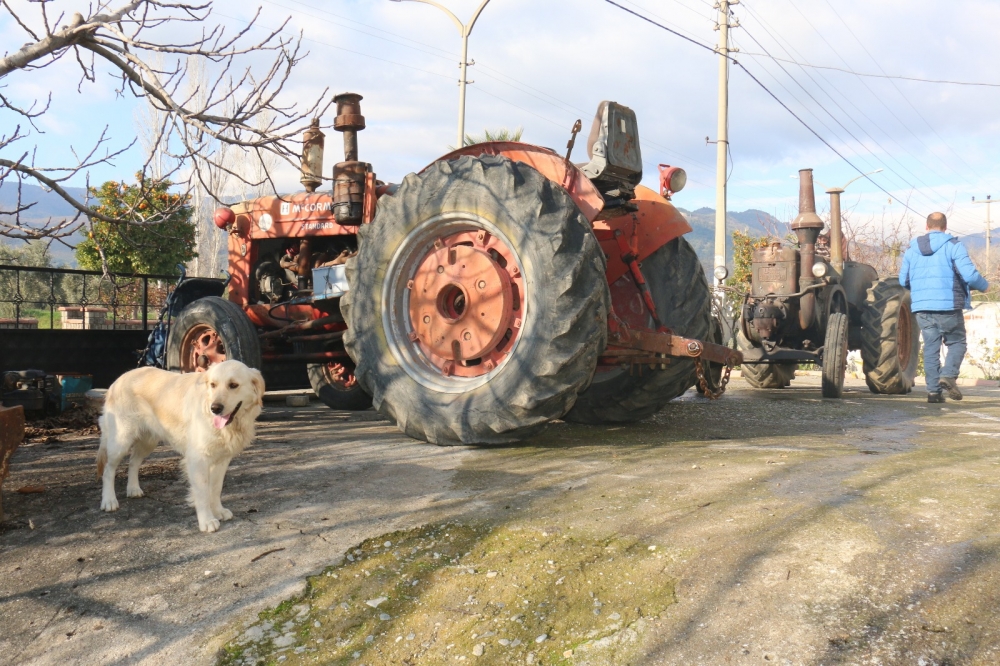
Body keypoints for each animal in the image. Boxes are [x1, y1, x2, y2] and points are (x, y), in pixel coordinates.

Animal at [94, 360, 262, 532]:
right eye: (213, 385)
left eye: (233, 385)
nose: (215, 408)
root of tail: (117, 381)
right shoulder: (197, 459)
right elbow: (202, 492)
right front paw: (207, 520)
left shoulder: (222, 458)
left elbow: (215, 488)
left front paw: (218, 511)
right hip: (121, 440)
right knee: (108, 470)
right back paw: (109, 500)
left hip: (148, 441)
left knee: (133, 462)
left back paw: (133, 488)